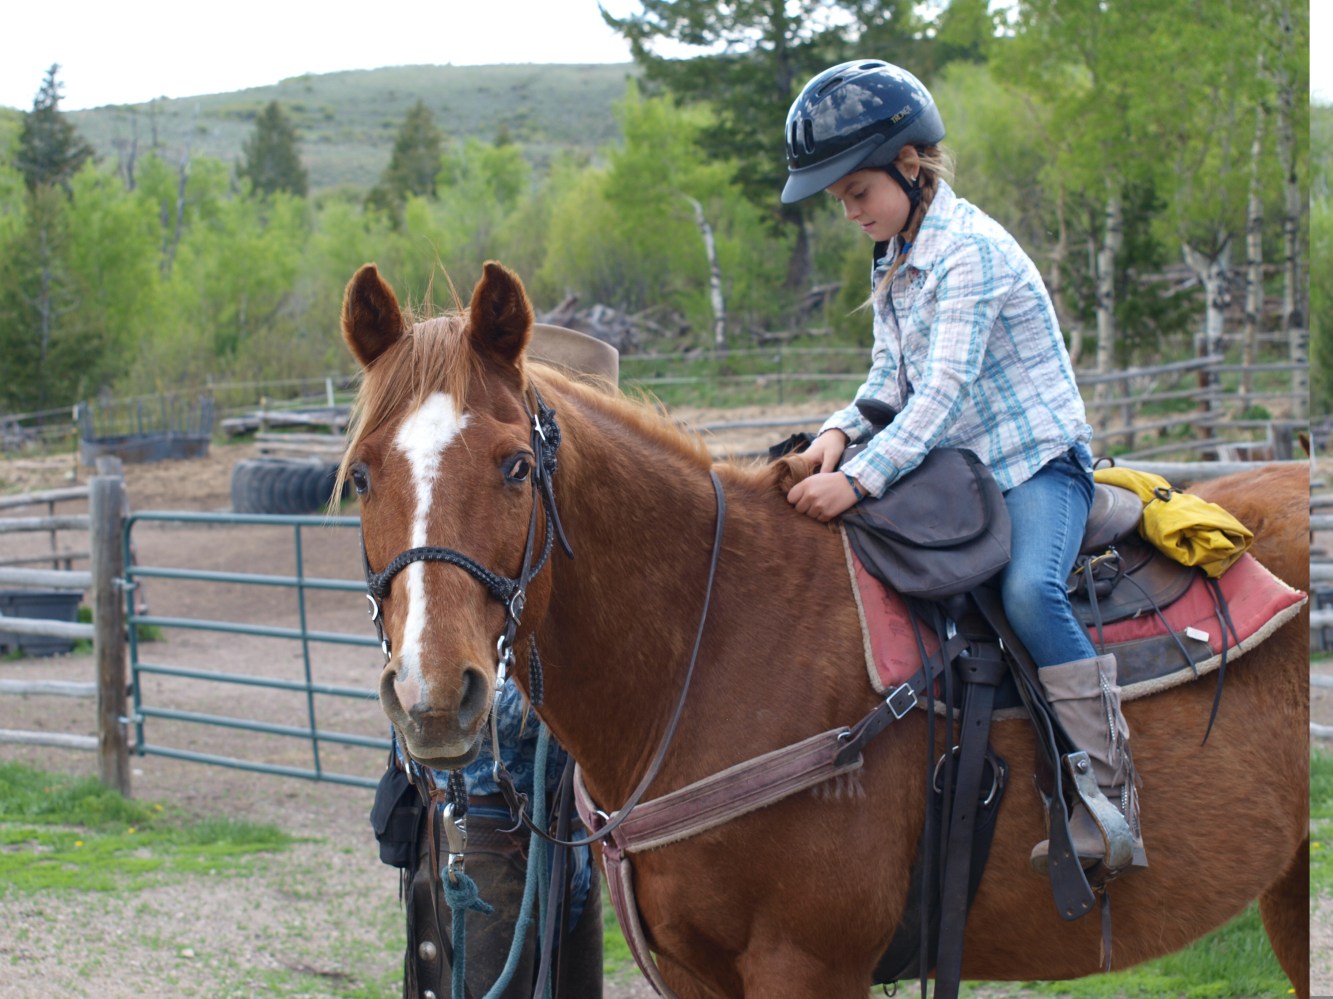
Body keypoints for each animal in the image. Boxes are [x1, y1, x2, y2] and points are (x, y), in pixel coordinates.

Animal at [338, 262, 1306, 997]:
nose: (433, 695)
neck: (715, 642)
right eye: (359, 476)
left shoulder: (807, 966)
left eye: (513, 466)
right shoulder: (696, 973)